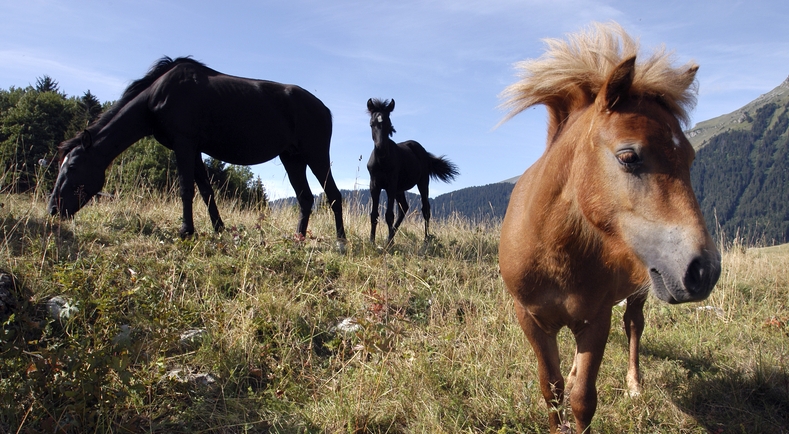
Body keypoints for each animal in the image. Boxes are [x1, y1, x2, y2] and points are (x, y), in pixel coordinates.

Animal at [48, 56, 344, 242]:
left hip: (316, 155)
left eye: (72, 166)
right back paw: (298, 238)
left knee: (333, 195)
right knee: (305, 198)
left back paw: (341, 242)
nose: (53, 209)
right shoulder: (195, 149)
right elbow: (206, 190)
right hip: (292, 158)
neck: (158, 96)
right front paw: (218, 228)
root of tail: (325, 109)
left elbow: (186, 188)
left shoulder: (184, 143)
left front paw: (185, 231)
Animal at [366, 99, 458, 246]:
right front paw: (372, 242)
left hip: (422, 182)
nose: (380, 149)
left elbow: (389, 215)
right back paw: (390, 236)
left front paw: (389, 244)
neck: (382, 162)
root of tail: (424, 152)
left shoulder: (391, 186)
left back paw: (426, 239)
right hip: (400, 189)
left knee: (425, 209)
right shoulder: (374, 185)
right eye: (371, 124)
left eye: (388, 124)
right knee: (404, 208)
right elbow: (374, 215)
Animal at [498, 22, 720, 430]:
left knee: (634, 325)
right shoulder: (531, 320)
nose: (704, 270)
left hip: (641, 290)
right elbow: (551, 391)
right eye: (629, 156)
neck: (553, 252)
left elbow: (583, 399)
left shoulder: (596, 320)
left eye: (690, 158)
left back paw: (634, 385)